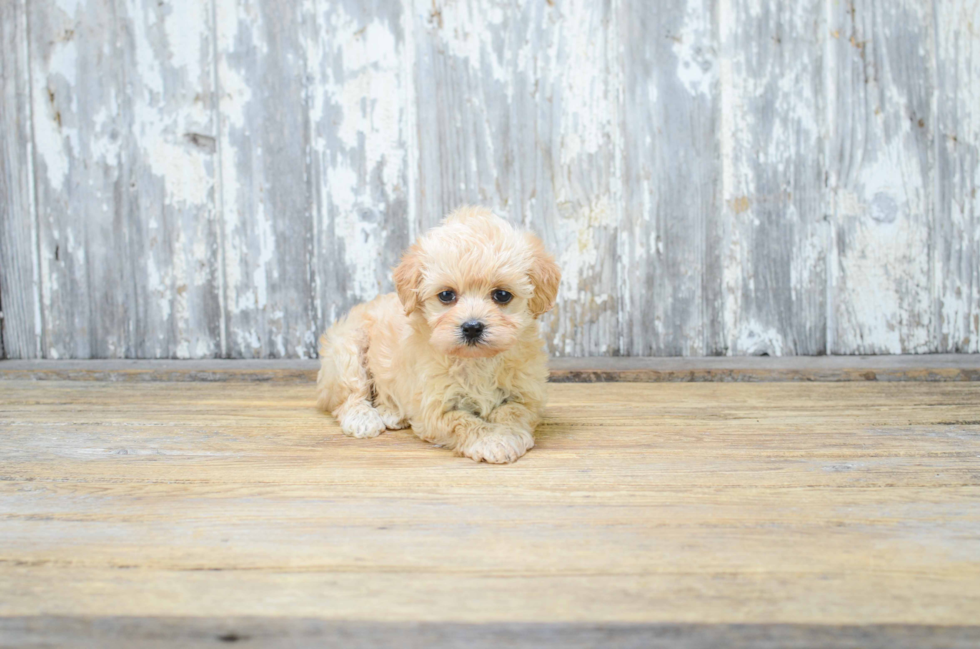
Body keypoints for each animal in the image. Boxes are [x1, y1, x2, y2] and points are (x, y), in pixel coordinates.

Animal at [314, 205, 560, 464]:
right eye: (446, 295)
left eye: (502, 295)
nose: (472, 327)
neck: (478, 361)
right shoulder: (433, 406)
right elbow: (463, 421)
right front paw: (492, 440)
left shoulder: (527, 394)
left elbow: (513, 411)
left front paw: (507, 433)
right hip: (346, 350)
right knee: (349, 395)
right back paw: (363, 418)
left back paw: (392, 412)